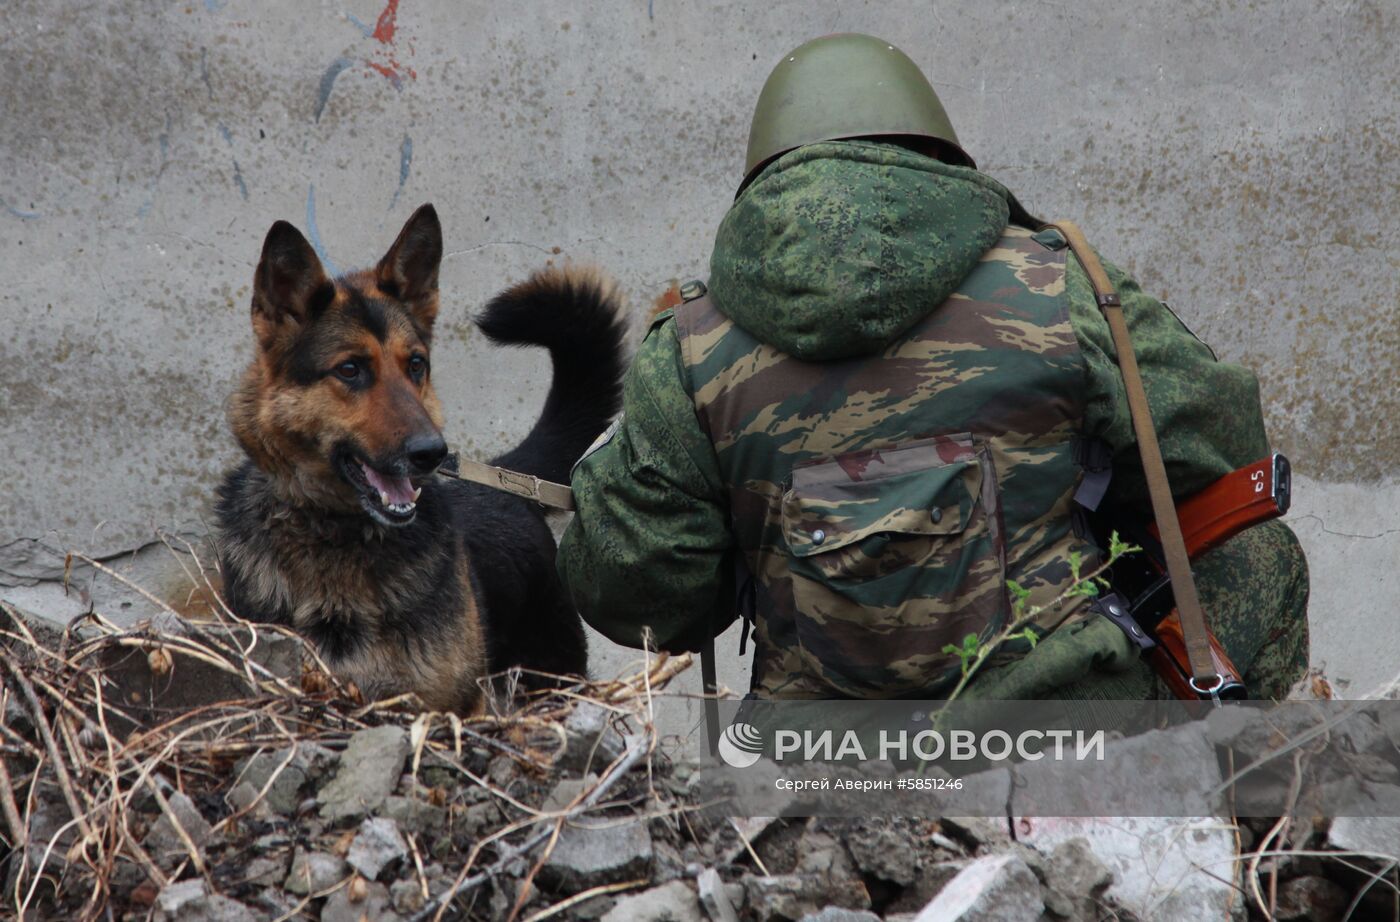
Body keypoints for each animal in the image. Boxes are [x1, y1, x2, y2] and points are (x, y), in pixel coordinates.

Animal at [211, 207, 624, 713]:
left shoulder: (448, 707)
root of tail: (512, 487)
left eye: (415, 365)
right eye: (350, 369)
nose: (432, 453)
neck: (338, 533)